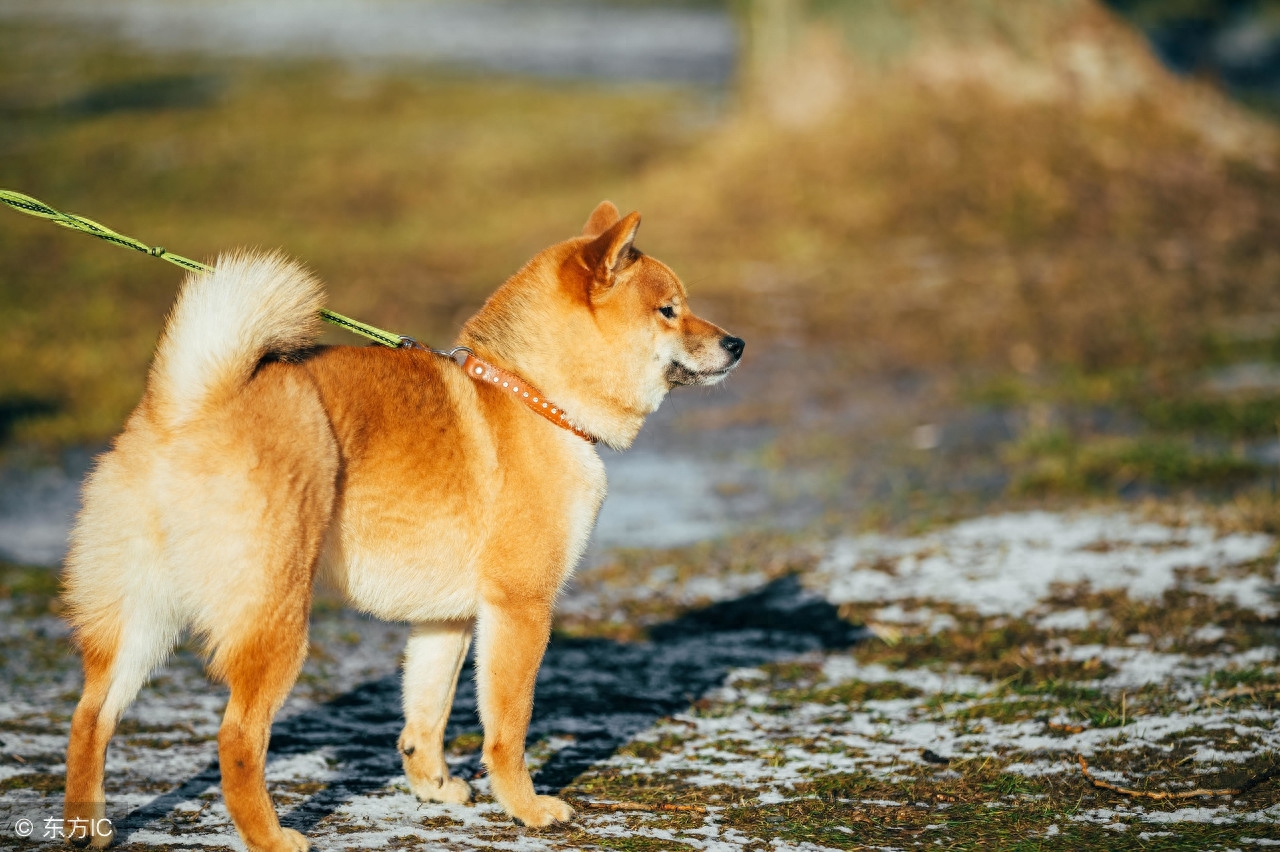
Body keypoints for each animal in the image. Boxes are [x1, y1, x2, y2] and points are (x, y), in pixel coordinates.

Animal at [60, 202, 747, 844]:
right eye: (669, 310)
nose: (736, 344)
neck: (533, 394)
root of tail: (187, 408)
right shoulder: (521, 606)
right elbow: (508, 727)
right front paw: (525, 808)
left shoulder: (446, 620)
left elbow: (425, 716)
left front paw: (434, 786)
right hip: (275, 622)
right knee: (236, 738)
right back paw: (272, 837)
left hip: (140, 621)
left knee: (90, 718)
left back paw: (86, 829)